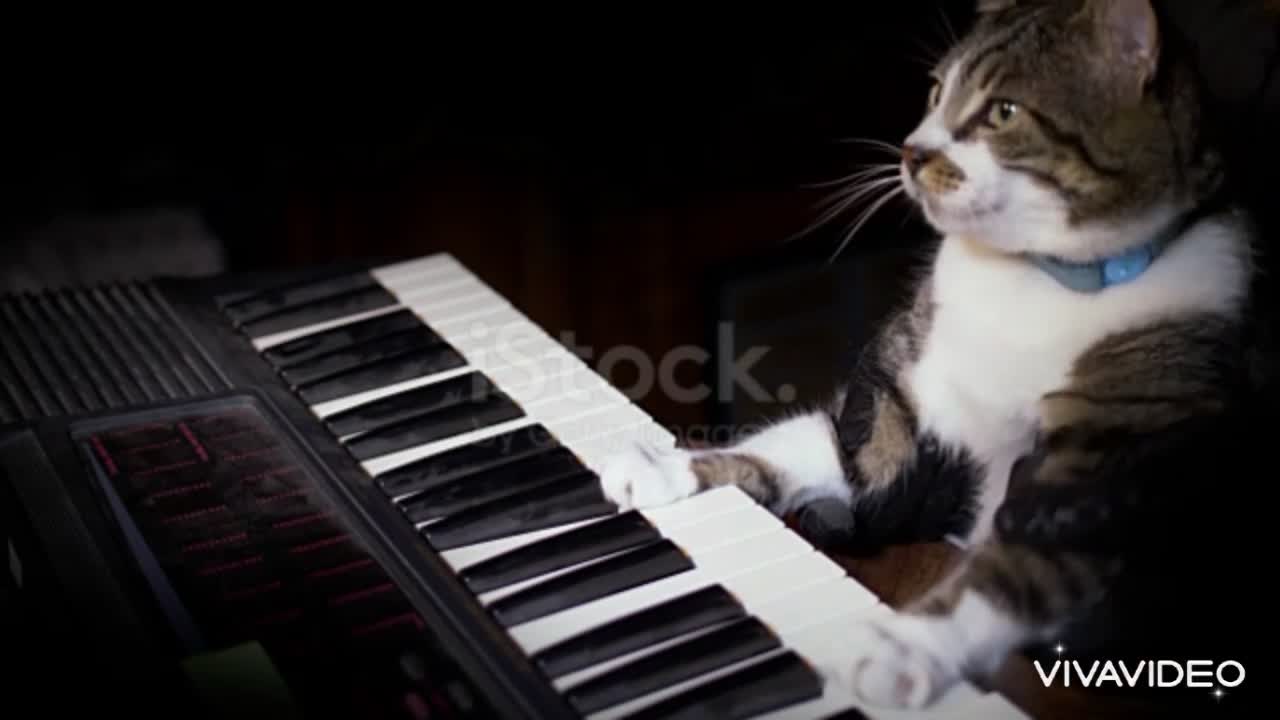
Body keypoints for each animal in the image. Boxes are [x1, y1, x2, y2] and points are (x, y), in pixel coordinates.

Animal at [599, 0, 1269, 707]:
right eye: (934, 92)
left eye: (1003, 112)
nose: (912, 151)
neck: (1033, 281)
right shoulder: (893, 411)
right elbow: (794, 450)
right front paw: (666, 467)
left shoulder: (1098, 465)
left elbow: (1006, 578)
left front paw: (904, 645)